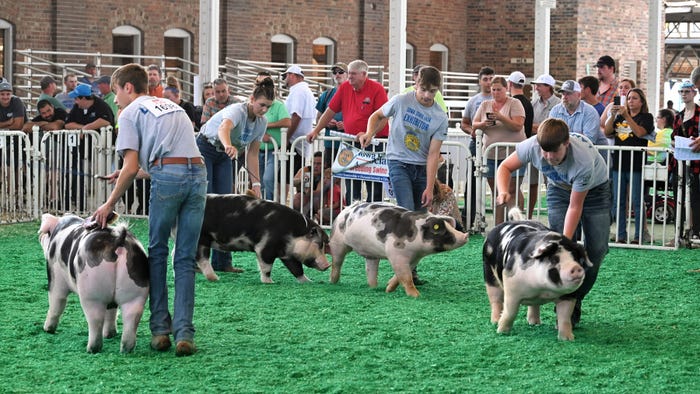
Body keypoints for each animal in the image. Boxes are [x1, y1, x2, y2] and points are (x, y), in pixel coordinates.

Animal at [38, 214, 149, 352]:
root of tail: (118, 239)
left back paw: (91, 349)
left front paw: (47, 329)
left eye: (46, 233)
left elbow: (56, 303)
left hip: (92, 293)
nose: (40, 236)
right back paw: (125, 349)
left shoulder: (56, 278)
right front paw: (109, 335)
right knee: (131, 316)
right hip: (136, 291)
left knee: (95, 319)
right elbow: (111, 311)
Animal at [196, 195, 330, 284]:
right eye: (319, 244)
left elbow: (297, 269)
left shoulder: (287, 254)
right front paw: (270, 282)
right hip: (202, 239)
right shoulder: (265, 247)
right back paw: (215, 278)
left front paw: (309, 281)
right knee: (202, 259)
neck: (291, 233)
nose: (328, 265)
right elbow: (266, 266)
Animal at [330, 202, 470, 298]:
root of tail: (347, 208)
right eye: (438, 228)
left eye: (448, 226)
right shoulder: (396, 253)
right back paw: (333, 282)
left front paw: (388, 289)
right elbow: (406, 276)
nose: (465, 235)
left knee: (371, 270)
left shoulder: (414, 259)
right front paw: (416, 295)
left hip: (371, 255)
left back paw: (374, 288)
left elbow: (401, 276)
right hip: (337, 241)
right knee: (336, 263)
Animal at [484, 208, 592, 340]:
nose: (575, 267)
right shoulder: (511, 285)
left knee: (533, 306)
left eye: (576, 258)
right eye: (554, 259)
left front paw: (568, 339)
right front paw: (501, 332)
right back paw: (495, 321)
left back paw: (535, 323)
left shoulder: (569, 295)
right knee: (495, 300)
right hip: (489, 274)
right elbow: (510, 312)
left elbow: (564, 317)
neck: (542, 289)